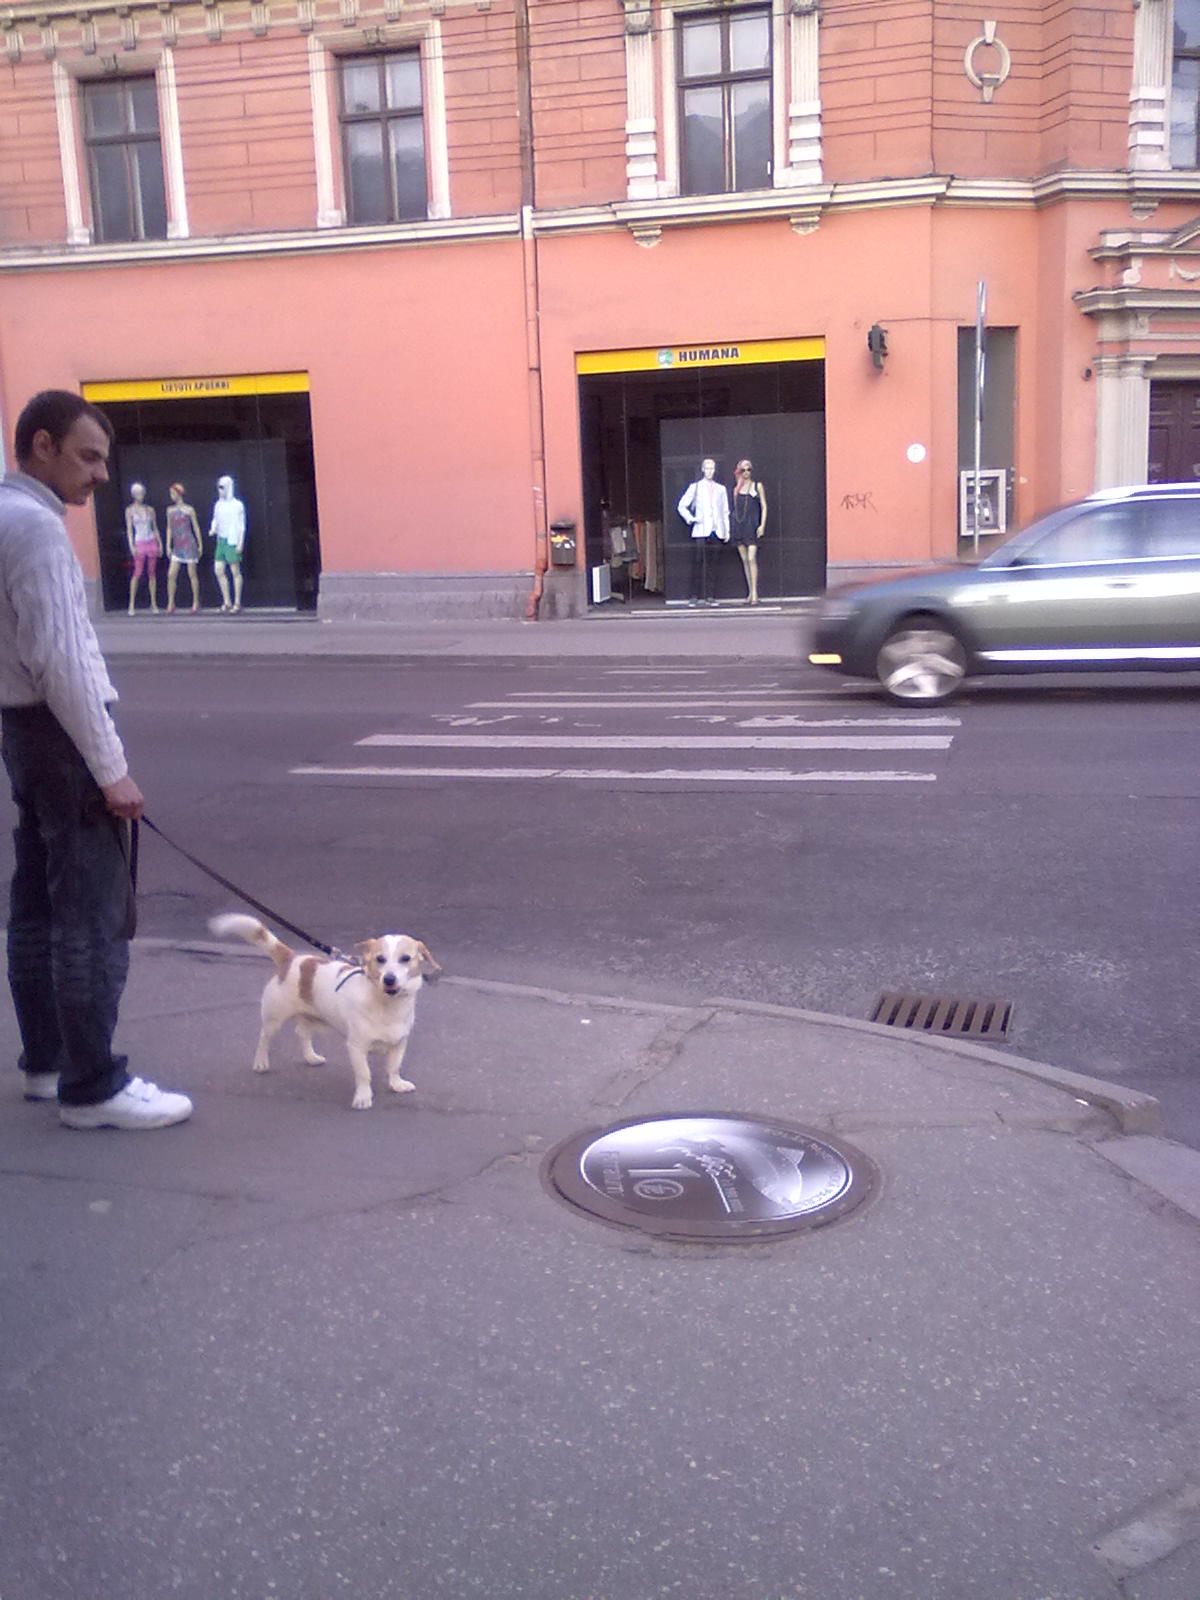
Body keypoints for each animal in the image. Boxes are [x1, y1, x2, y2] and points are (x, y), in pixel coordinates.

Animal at [210, 913, 440, 1110]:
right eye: (380, 959)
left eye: (405, 958)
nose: (389, 979)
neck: (387, 1005)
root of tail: (292, 958)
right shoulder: (356, 1047)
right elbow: (364, 1074)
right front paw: (363, 1097)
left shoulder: (399, 1043)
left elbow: (394, 1067)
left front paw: (397, 1084)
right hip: (274, 1018)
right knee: (264, 1038)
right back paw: (261, 1062)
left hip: (308, 1017)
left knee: (301, 1034)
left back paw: (311, 1057)